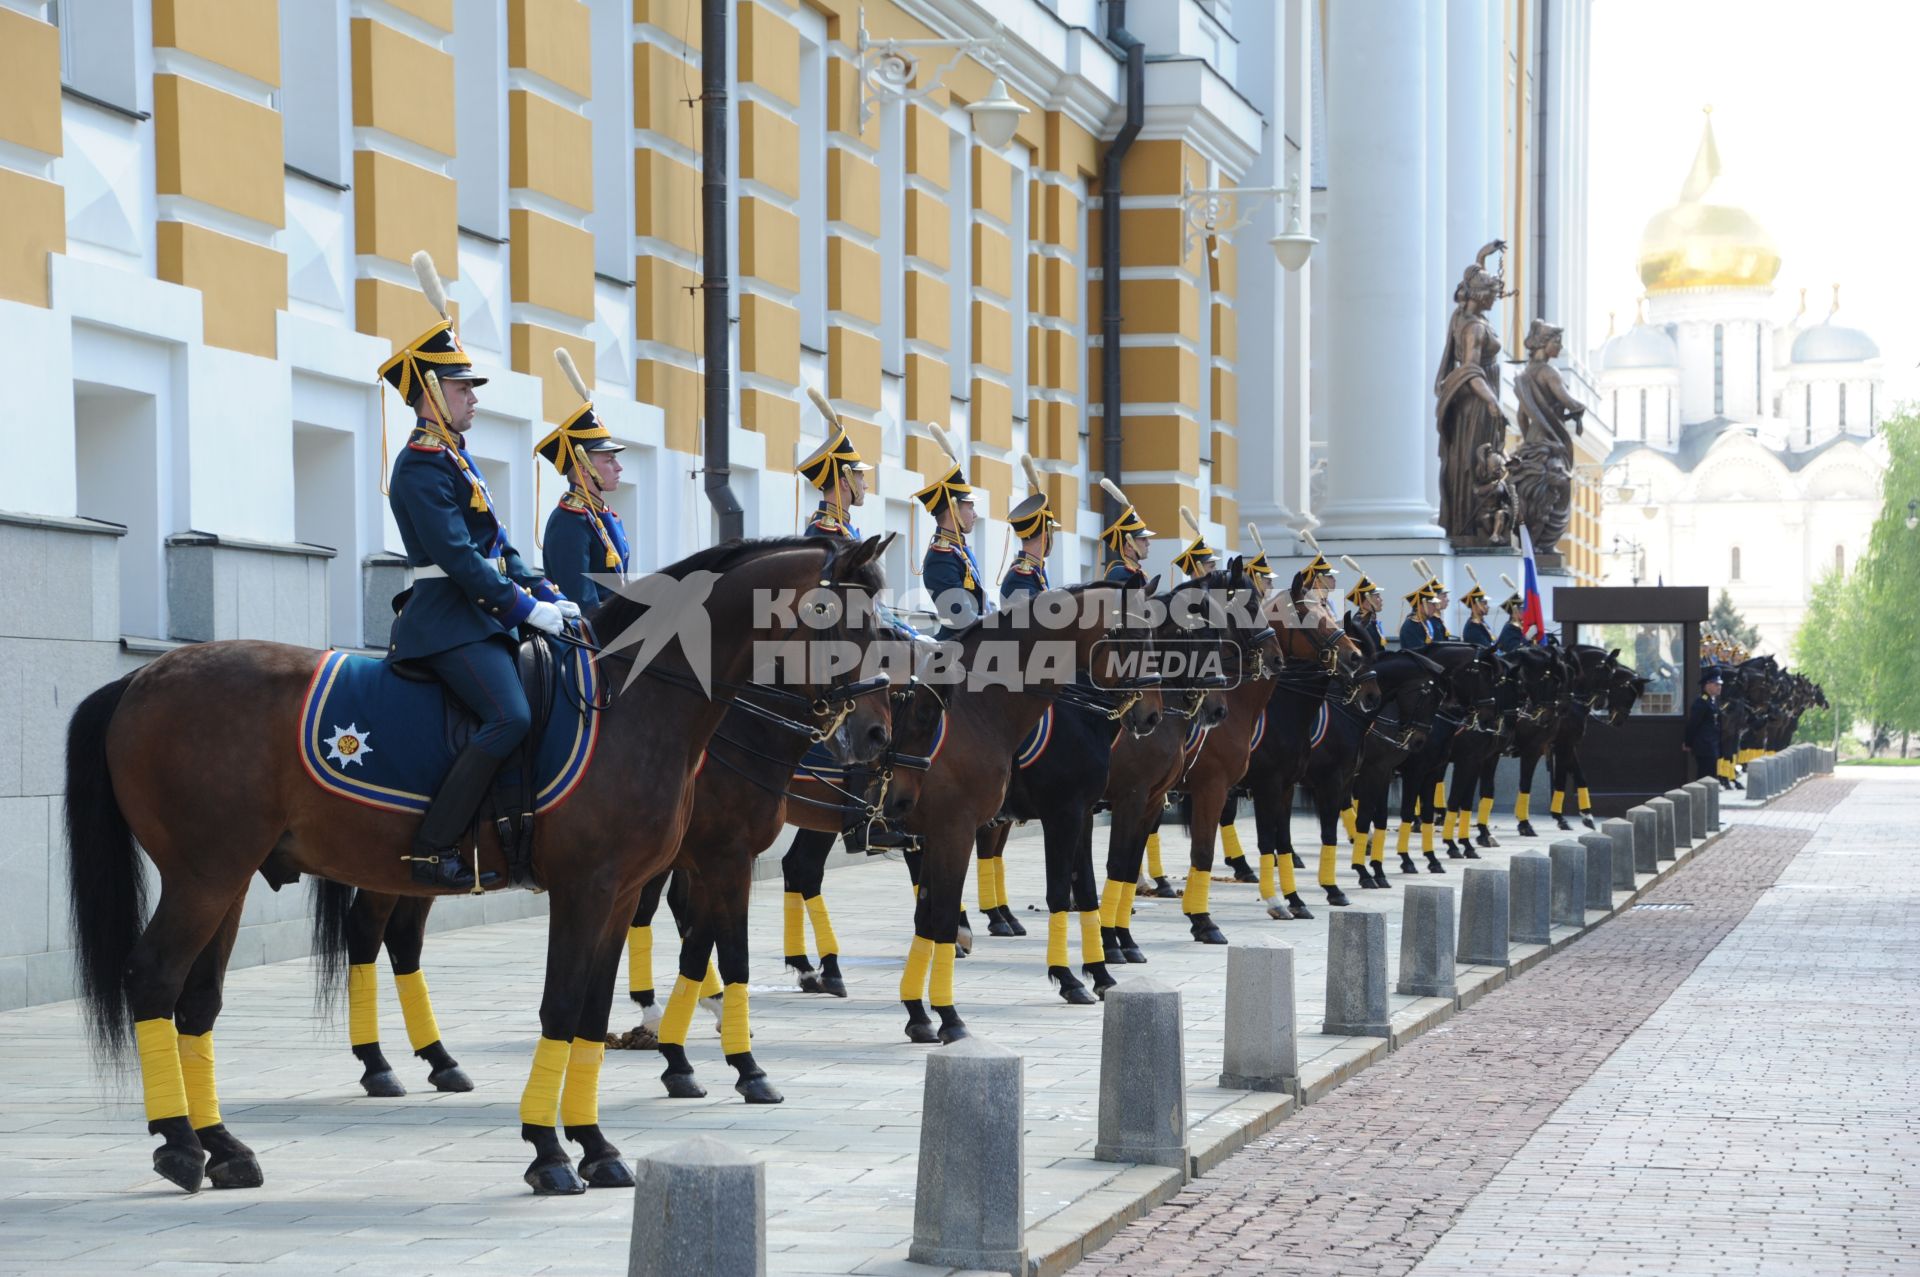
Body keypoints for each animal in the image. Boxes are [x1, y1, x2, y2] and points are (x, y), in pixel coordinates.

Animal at [65, 533, 890, 1190]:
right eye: (845, 616)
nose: (874, 731)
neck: (636, 703)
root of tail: (142, 675)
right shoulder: (605, 884)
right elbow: (568, 1004)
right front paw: (551, 1151)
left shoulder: (628, 889)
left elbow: (595, 1011)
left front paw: (596, 1143)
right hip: (207, 876)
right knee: (157, 977)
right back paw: (182, 1142)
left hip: (232, 879)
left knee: (201, 1000)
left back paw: (225, 1144)